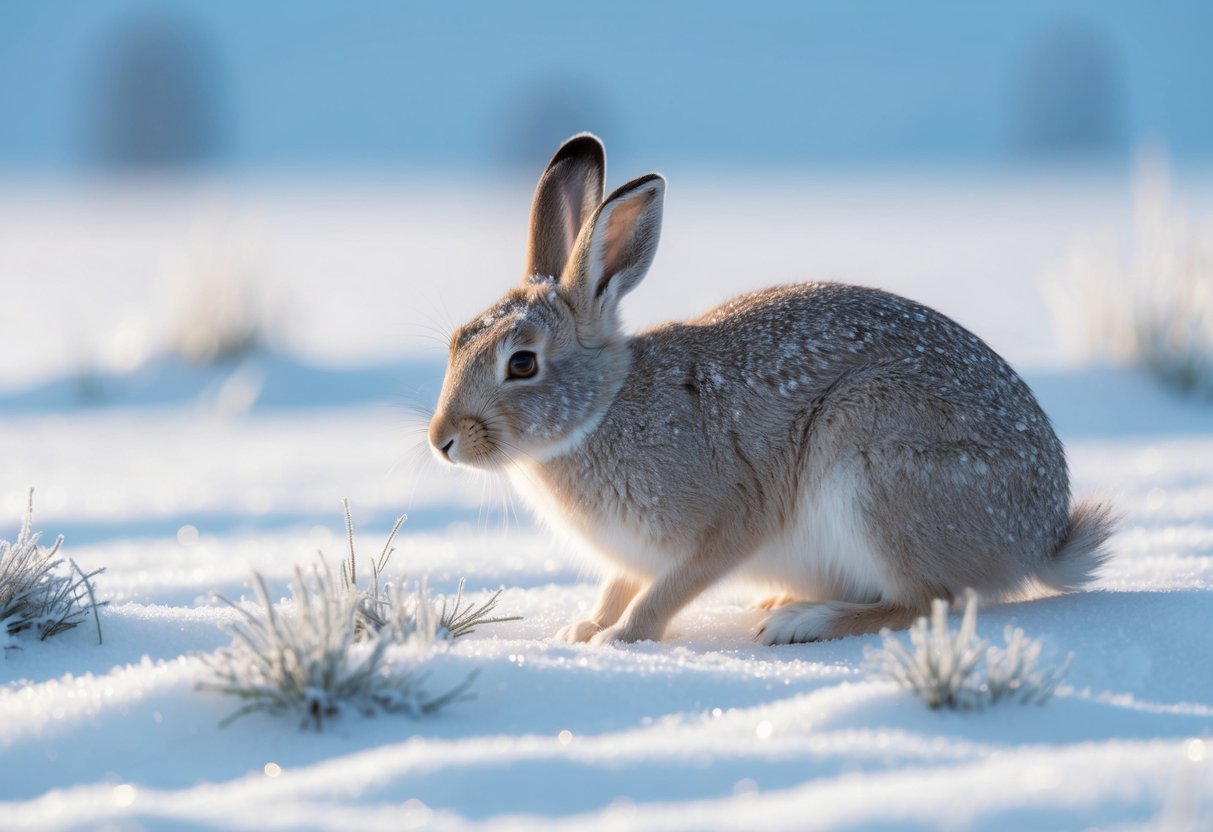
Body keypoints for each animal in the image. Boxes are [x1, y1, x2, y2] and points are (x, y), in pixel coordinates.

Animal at [427, 133, 1115, 646]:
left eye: (522, 364)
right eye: (458, 340)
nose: (442, 441)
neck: (602, 408)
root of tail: (1038, 539)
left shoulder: (730, 520)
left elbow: (667, 591)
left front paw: (621, 638)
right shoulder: (628, 558)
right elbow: (618, 586)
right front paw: (582, 630)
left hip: (876, 460)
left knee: (929, 602)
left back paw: (799, 621)